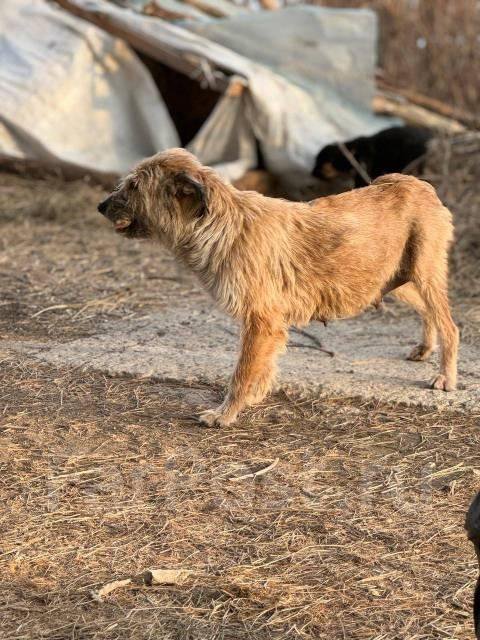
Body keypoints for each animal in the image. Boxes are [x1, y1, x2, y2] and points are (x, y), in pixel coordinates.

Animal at [96, 149, 458, 424]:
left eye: (134, 185)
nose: (100, 206)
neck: (221, 226)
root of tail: (416, 183)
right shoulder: (270, 325)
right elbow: (263, 365)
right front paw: (254, 397)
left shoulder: (260, 321)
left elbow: (241, 373)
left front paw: (225, 414)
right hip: (394, 280)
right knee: (429, 313)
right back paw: (425, 349)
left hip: (424, 274)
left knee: (450, 326)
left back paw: (446, 377)